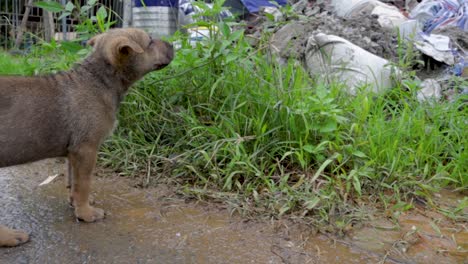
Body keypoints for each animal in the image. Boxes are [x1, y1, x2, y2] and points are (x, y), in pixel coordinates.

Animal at [0, 27, 174, 246]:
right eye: (150, 42)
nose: (173, 44)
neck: (99, 79)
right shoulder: (86, 149)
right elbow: (83, 184)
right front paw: (86, 213)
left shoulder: (73, 153)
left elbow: (73, 181)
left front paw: (76, 204)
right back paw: (9, 236)